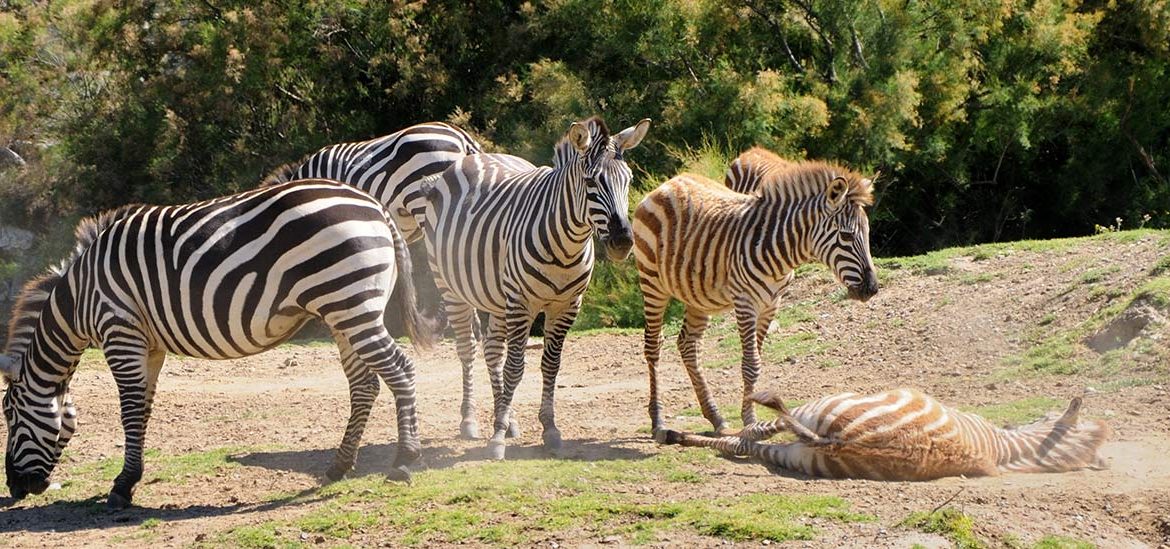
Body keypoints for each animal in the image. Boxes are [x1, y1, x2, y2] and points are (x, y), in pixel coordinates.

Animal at [2, 179, 437, 505]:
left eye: (8, 414)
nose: (15, 488)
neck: (79, 298)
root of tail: (374, 205)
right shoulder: (149, 344)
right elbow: (143, 411)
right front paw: (131, 479)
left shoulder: (119, 330)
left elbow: (129, 411)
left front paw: (121, 487)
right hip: (346, 311)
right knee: (364, 385)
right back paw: (339, 466)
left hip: (350, 304)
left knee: (401, 370)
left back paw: (404, 461)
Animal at [416, 116, 655, 458]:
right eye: (591, 182)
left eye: (629, 179)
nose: (622, 241)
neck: (567, 246)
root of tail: (476, 157)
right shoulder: (521, 302)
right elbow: (515, 368)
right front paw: (497, 438)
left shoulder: (566, 305)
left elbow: (550, 366)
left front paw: (549, 429)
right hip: (452, 288)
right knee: (468, 349)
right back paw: (471, 420)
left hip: (497, 298)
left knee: (492, 350)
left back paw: (508, 418)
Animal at [631, 159, 879, 435]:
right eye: (846, 236)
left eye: (868, 232)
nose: (871, 288)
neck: (779, 250)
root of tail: (668, 184)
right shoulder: (745, 302)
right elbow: (750, 364)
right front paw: (750, 421)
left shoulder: (771, 304)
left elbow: (756, 360)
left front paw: (750, 418)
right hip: (652, 282)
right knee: (653, 345)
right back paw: (658, 420)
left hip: (697, 294)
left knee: (688, 344)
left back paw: (715, 416)